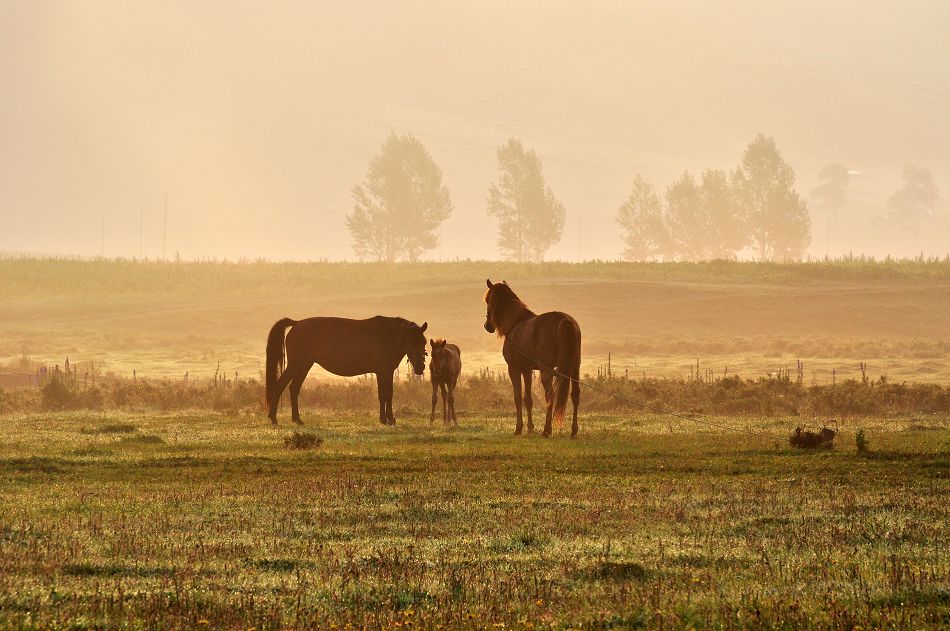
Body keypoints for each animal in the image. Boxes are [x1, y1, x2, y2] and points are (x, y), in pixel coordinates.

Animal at [268, 318, 432, 428]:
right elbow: (382, 395)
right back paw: (274, 419)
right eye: (411, 342)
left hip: (304, 365)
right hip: (297, 364)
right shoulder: (382, 372)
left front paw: (390, 419)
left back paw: (297, 419)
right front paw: (384, 419)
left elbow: (389, 394)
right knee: (280, 386)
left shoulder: (388, 372)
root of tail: (296, 323)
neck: (388, 336)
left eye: (423, 342)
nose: (420, 367)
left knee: (293, 388)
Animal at [488, 278, 584, 436]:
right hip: (575, 367)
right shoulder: (527, 369)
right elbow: (528, 399)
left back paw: (546, 430)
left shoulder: (514, 368)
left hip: (547, 370)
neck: (515, 323)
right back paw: (573, 431)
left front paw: (519, 428)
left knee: (550, 396)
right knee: (575, 394)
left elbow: (517, 397)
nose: (487, 326)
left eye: (488, 300)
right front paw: (530, 427)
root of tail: (566, 321)